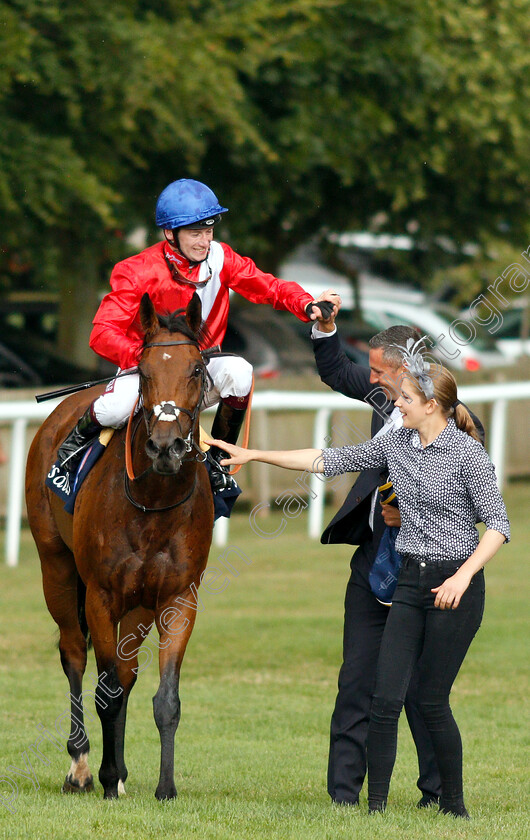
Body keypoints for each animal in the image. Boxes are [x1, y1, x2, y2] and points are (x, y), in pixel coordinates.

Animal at [23, 294, 212, 800]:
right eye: (142, 372)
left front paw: (164, 787)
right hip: (56, 568)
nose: (166, 447)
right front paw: (104, 777)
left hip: (139, 605)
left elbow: (164, 698)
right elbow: (102, 688)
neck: (154, 502)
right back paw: (82, 767)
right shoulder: (101, 594)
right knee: (73, 654)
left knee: (124, 677)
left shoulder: (177, 598)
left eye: (196, 369)